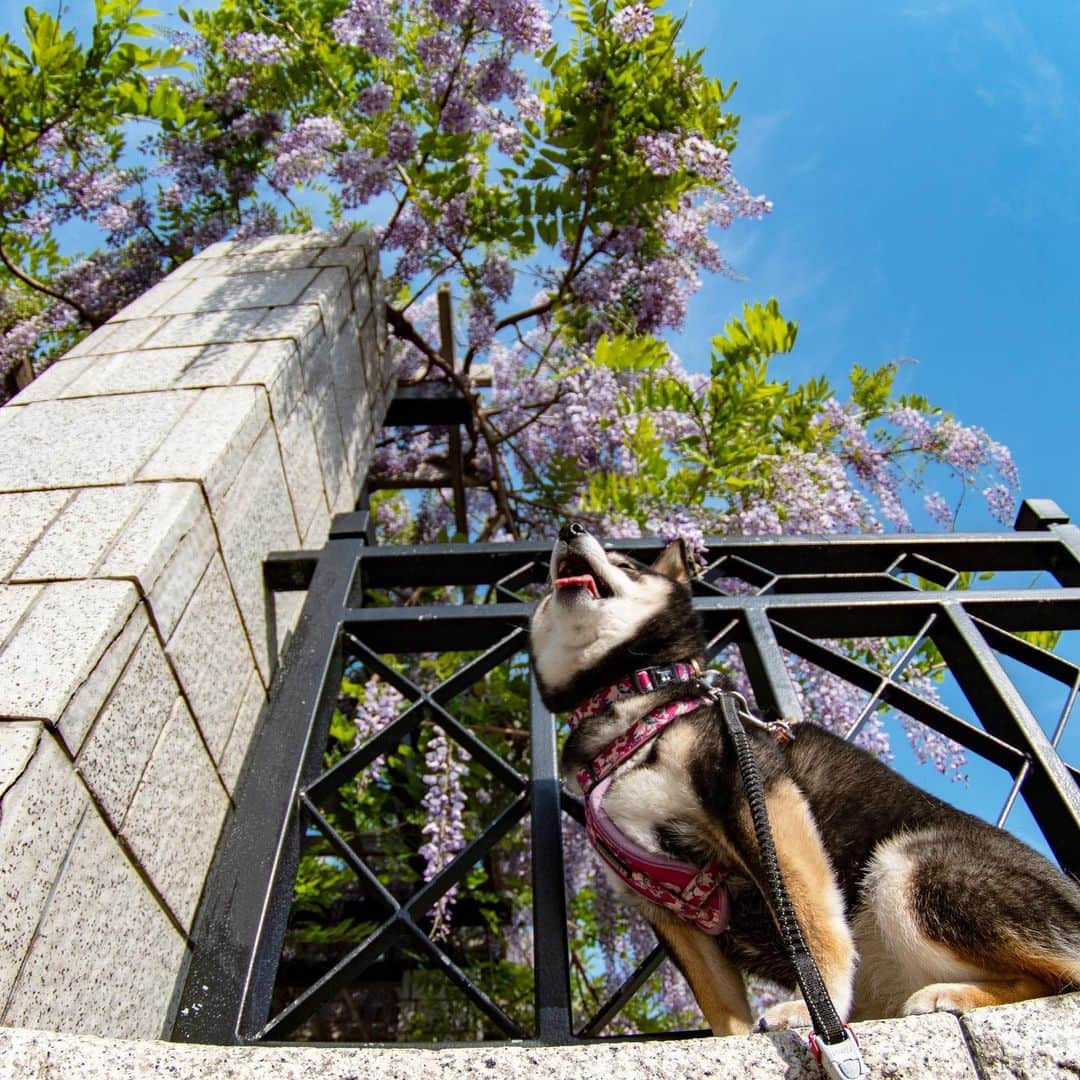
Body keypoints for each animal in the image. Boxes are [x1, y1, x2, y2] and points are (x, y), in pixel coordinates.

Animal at [527, 522, 1080, 1036]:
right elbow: (720, 1004)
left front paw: (818, 1004)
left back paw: (956, 994)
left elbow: (811, 929)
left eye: (628, 565)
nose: (569, 527)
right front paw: (734, 1044)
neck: (633, 702)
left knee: (1063, 975)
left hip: (910, 868)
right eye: (546, 586)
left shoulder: (760, 800)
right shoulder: (663, 906)